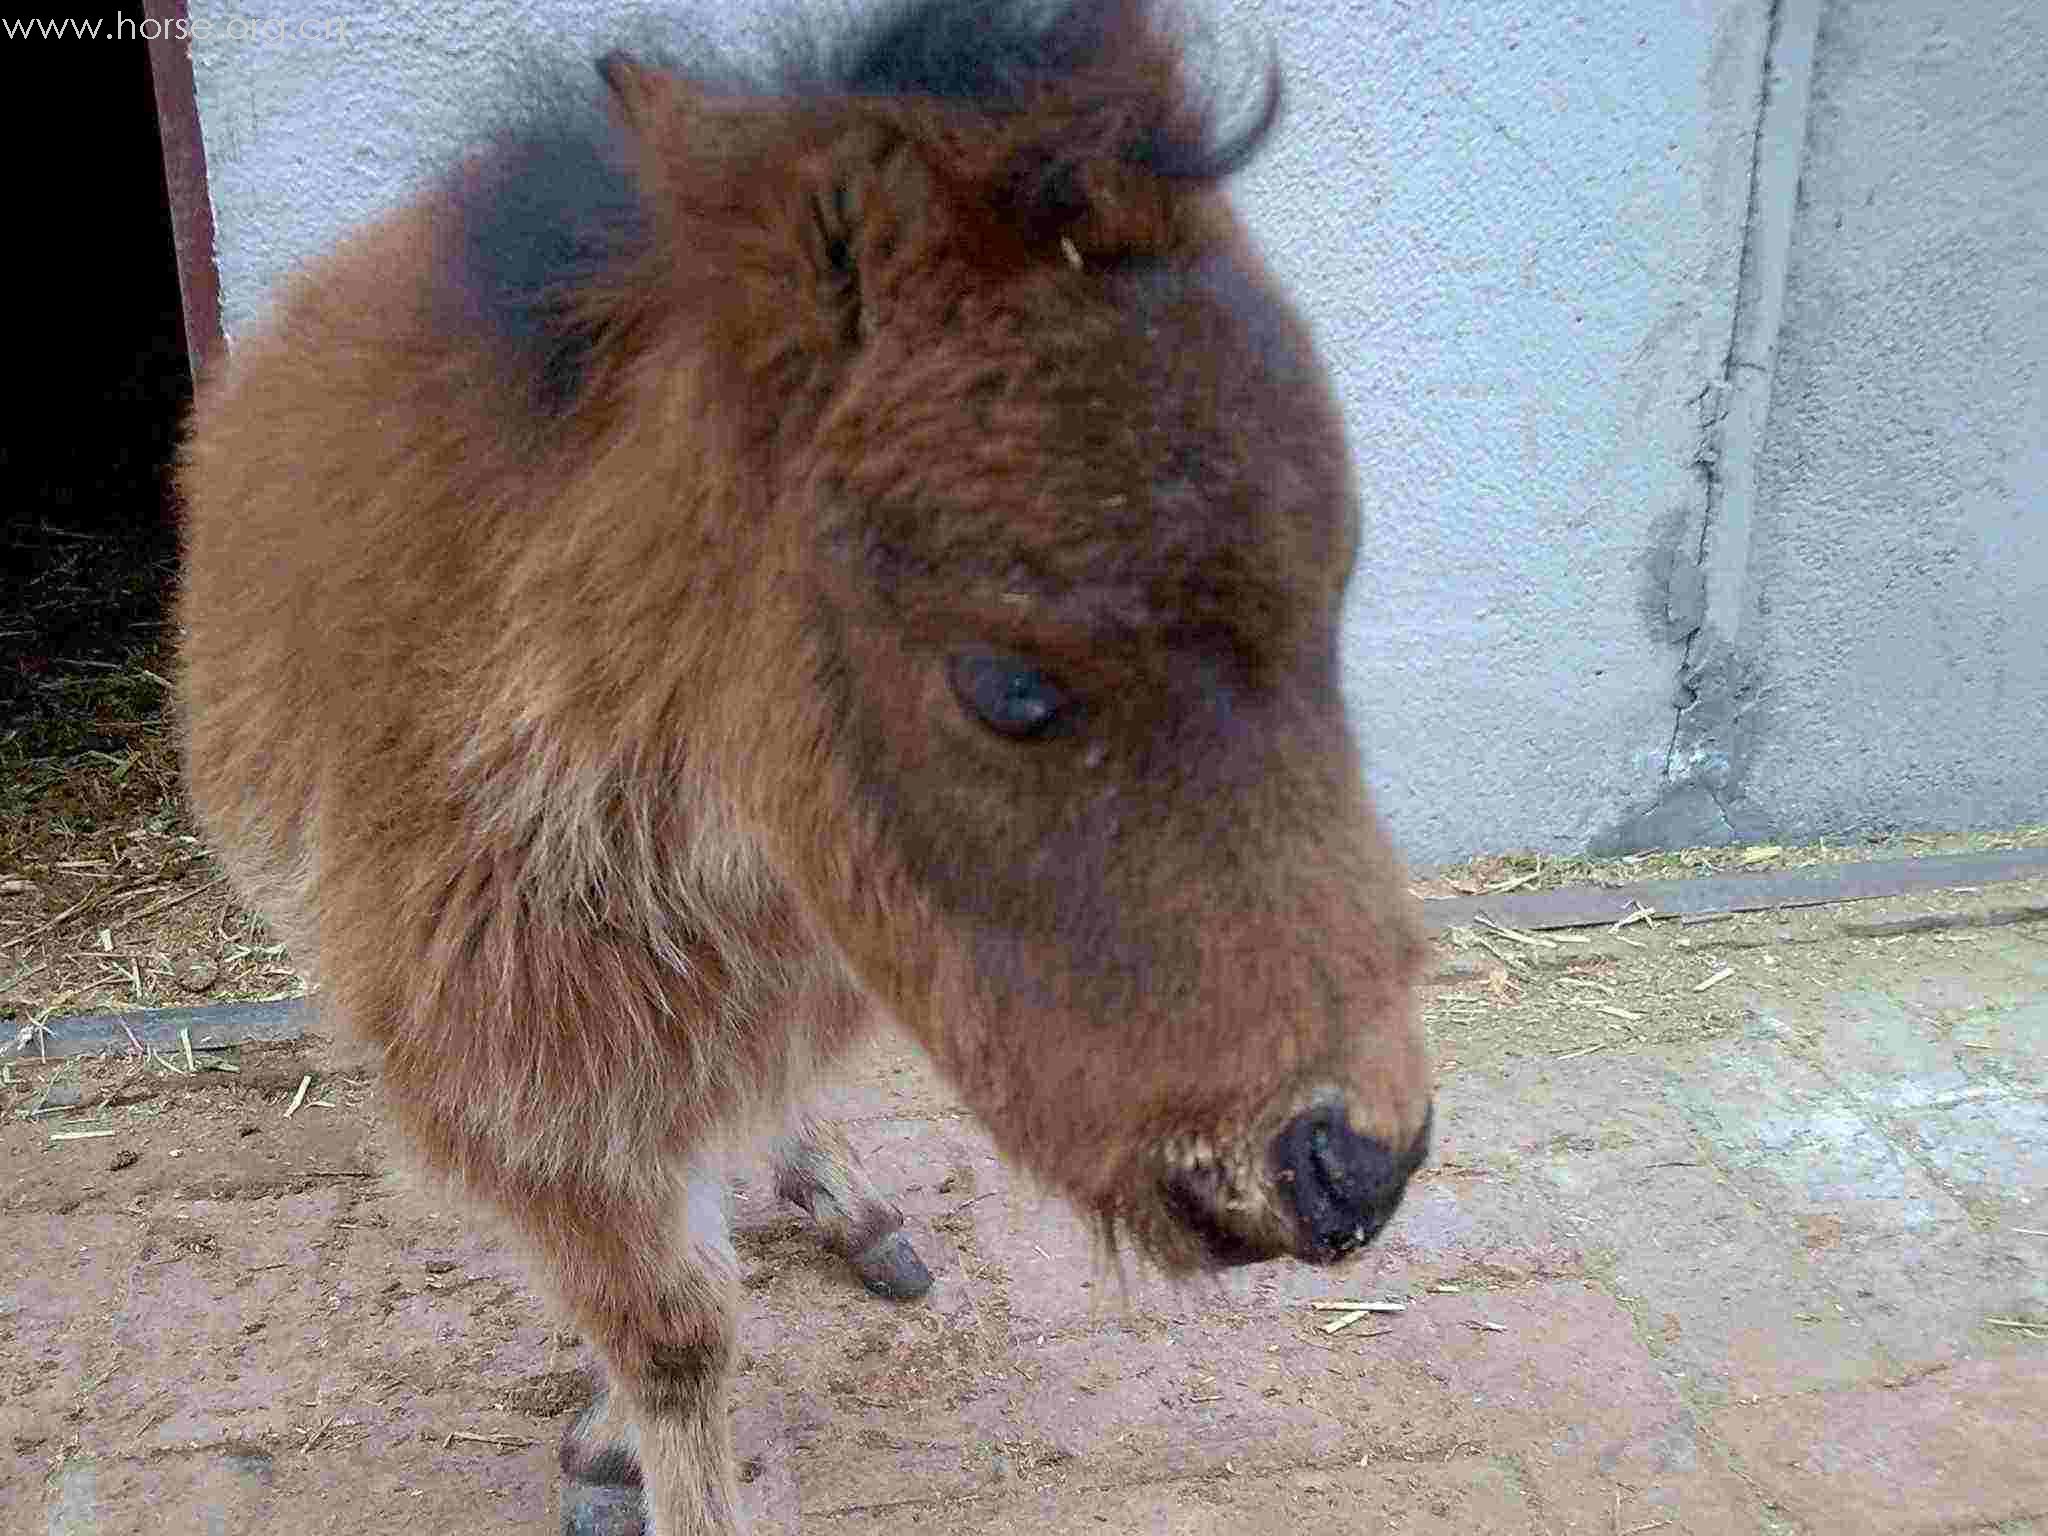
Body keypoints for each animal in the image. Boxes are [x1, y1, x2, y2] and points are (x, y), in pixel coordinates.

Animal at [176, 6, 1433, 1531]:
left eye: (1335, 591)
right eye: (1008, 684)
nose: (1359, 1163)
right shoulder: (516, 1083)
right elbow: (673, 1329)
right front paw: (618, 1448)